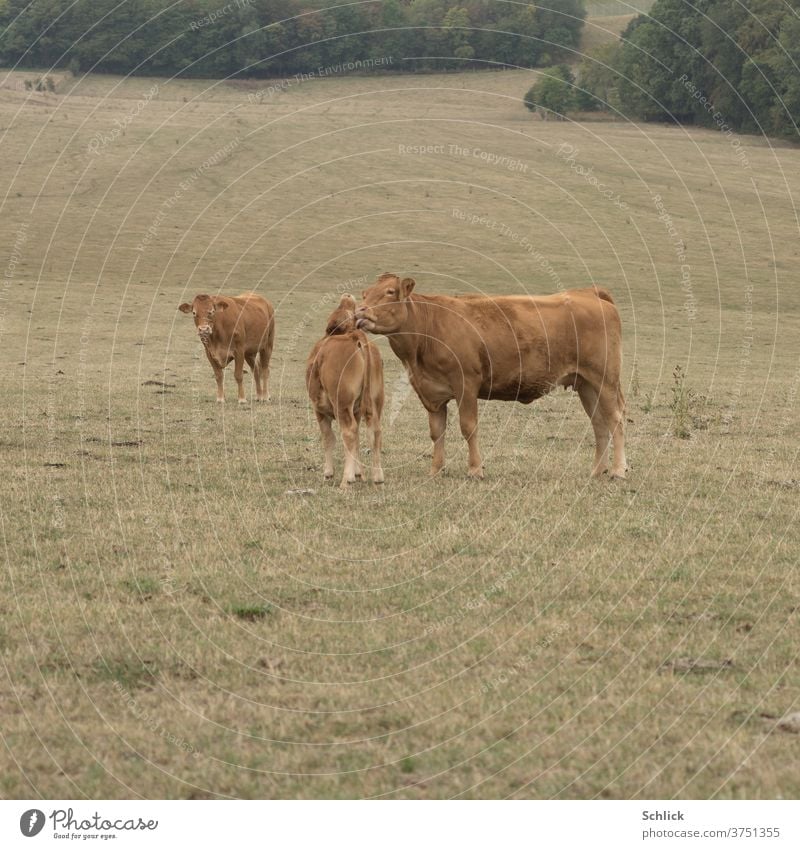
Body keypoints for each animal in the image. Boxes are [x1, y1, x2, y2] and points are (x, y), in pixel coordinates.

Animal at [306, 294, 384, 486]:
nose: (347, 296)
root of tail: (355, 335)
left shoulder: (319, 409)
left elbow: (328, 437)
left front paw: (328, 473)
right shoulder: (356, 411)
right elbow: (356, 442)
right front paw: (359, 473)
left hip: (341, 402)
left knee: (348, 432)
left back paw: (346, 480)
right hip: (376, 399)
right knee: (374, 431)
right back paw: (377, 477)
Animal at [354, 274, 624, 480]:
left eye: (389, 292)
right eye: (364, 293)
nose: (359, 311)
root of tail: (589, 293)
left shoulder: (466, 384)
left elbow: (468, 426)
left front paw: (475, 469)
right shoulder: (431, 393)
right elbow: (437, 432)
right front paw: (436, 470)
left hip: (605, 380)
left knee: (616, 419)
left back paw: (618, 470)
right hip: (586, 384)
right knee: (599, 423)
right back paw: (597, 471)